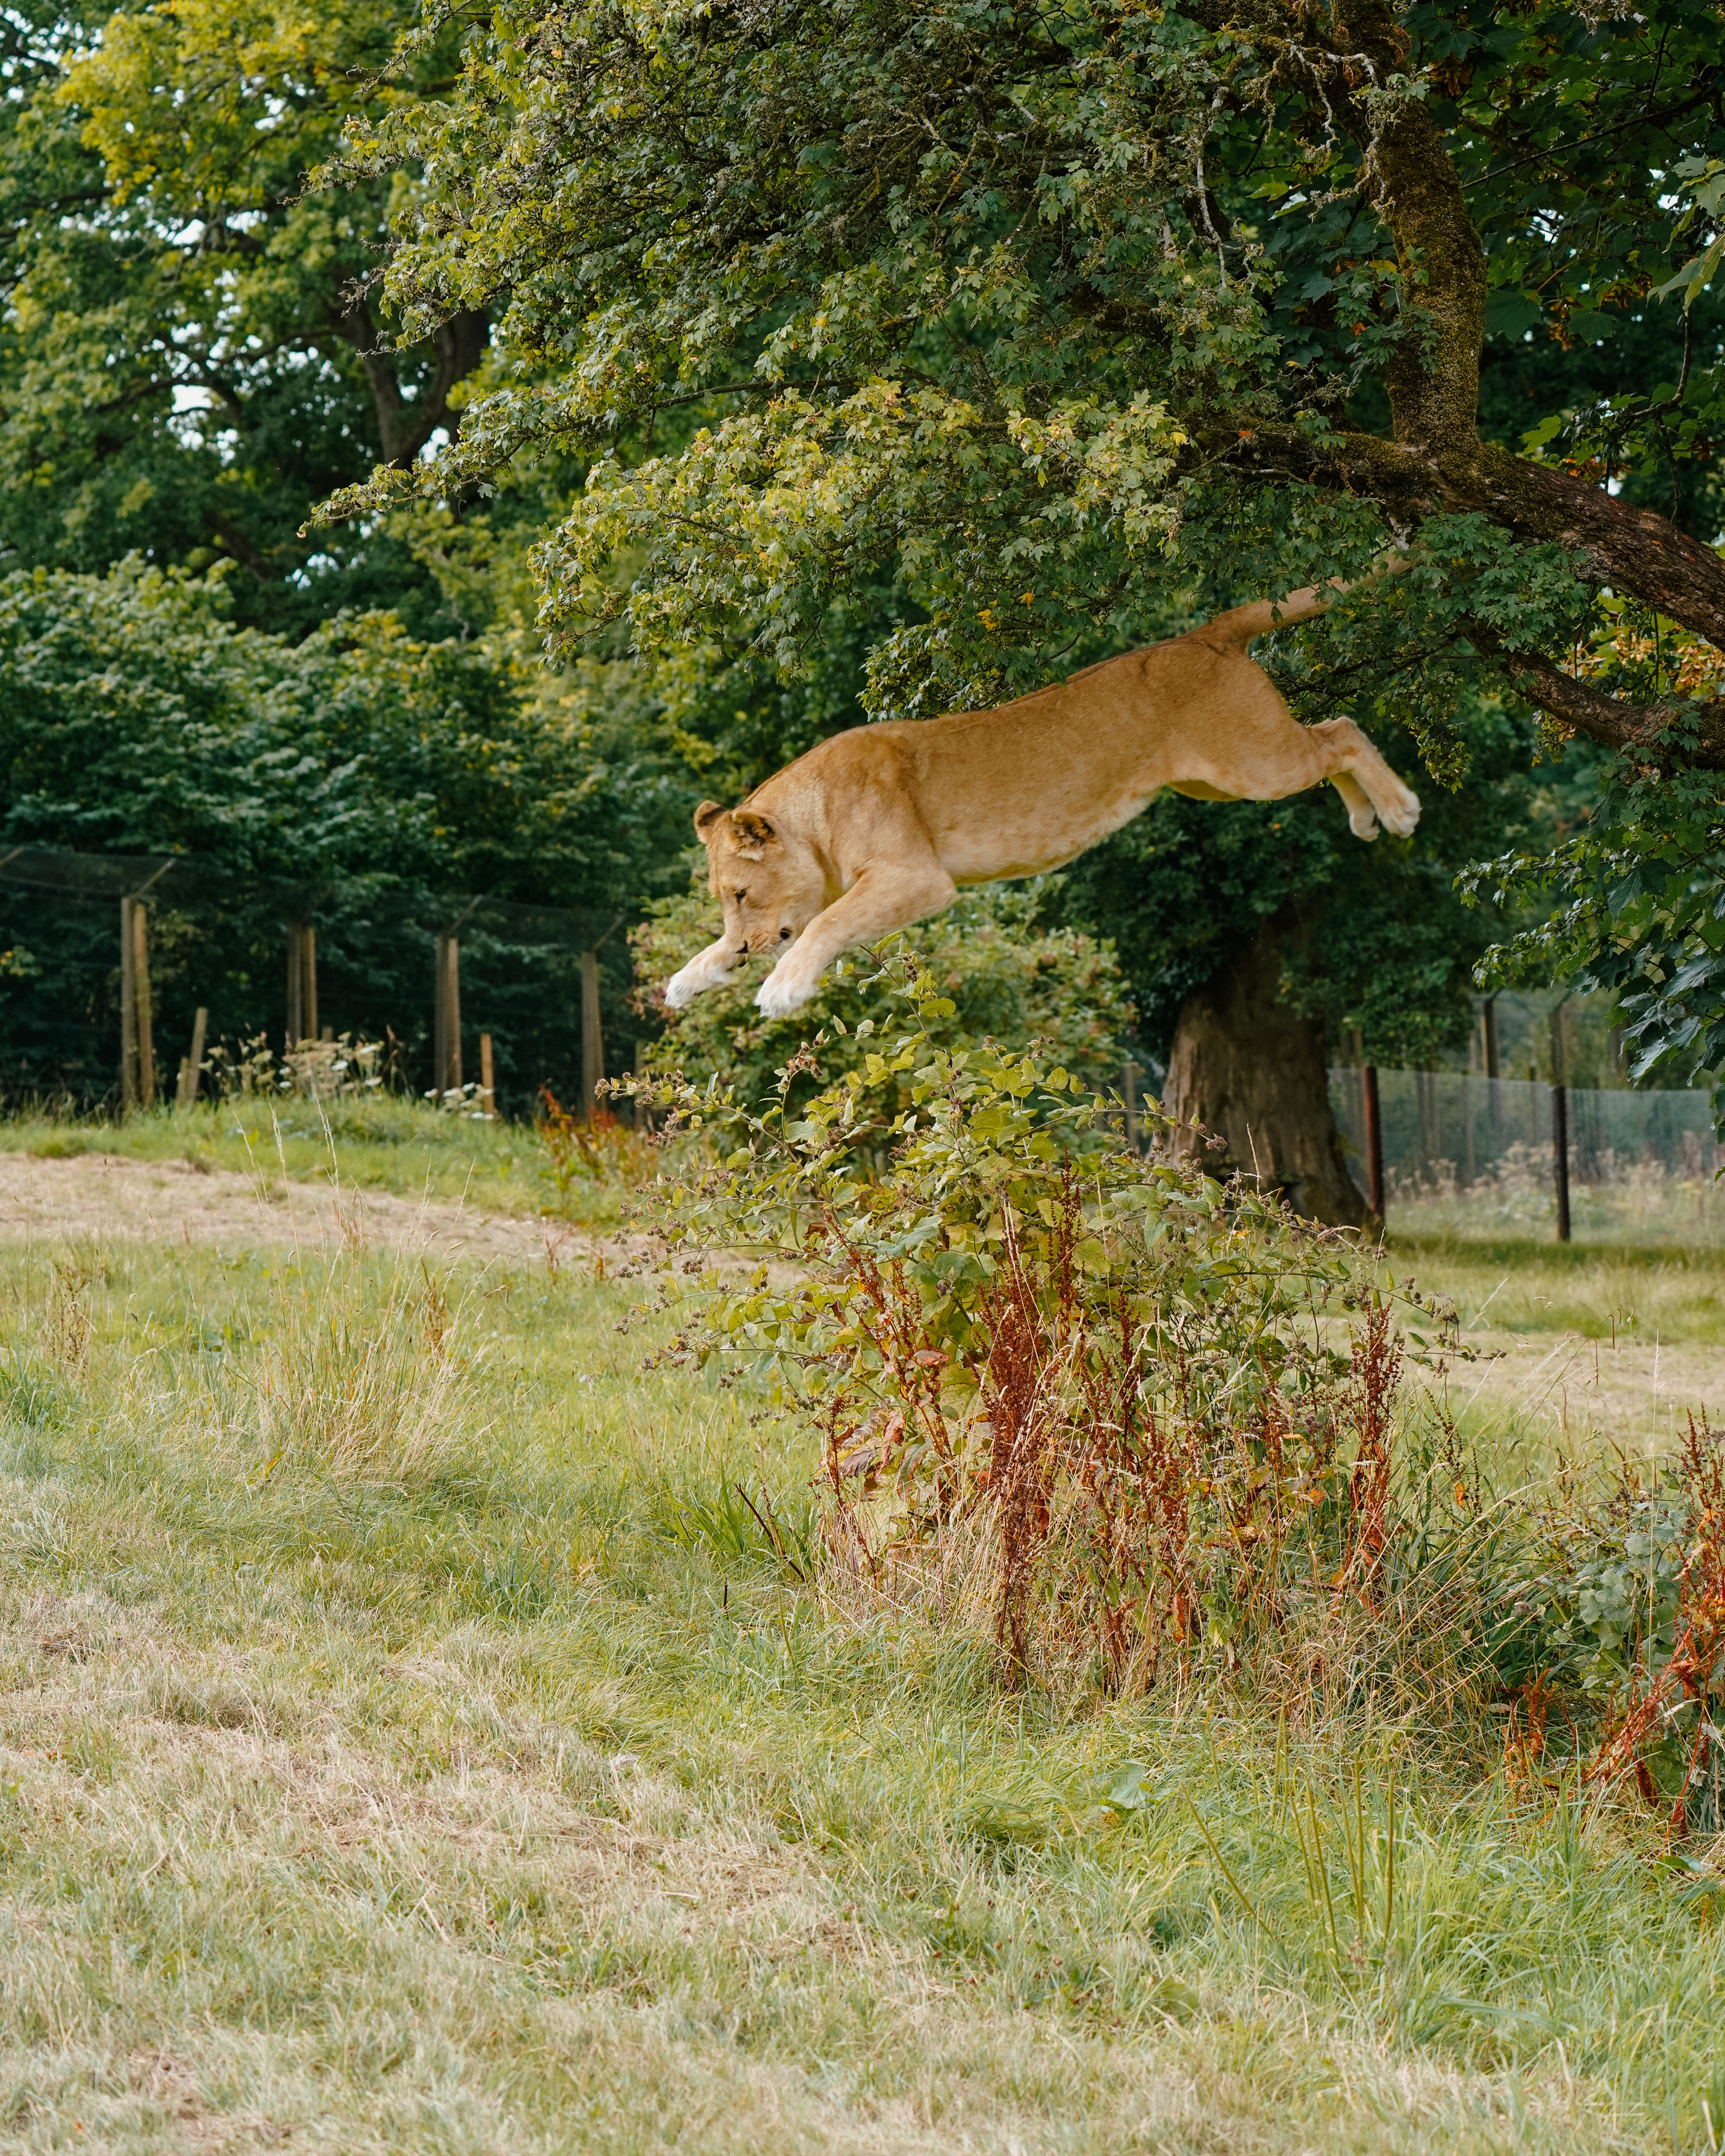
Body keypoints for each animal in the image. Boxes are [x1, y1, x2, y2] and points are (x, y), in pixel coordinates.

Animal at [664, 580, 1420, 1019]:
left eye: (739, 892)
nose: (746, 945)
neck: (815, 817)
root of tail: (1202, 635)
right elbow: (772, 933)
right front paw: (691, 976)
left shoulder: (915, 877)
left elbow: (827, 923)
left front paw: (781, 988)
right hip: (1213, 778)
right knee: (1329, 737)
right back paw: (1365, 817)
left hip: (1251, 762)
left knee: (1341, 731)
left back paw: (1397, 809)